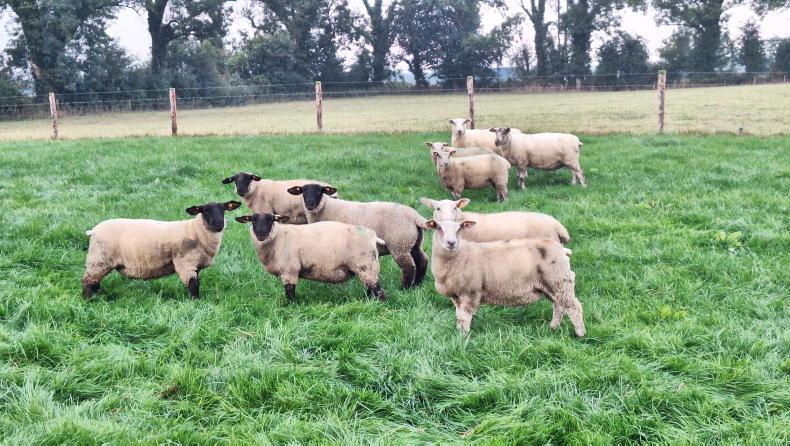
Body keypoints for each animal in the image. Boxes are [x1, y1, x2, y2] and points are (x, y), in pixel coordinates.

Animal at [82, 201, 242, 300]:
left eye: (223, 210)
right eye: (205, 211)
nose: (219, 224)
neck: (196, 231)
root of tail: (93, 231)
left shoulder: (194, 265)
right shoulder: (185, 263)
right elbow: (194, 285)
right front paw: (196, 302)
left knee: (94, 282)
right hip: (98, 260)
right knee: (88, 281)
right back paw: (87, 300)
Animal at [236, 213, 387, 302]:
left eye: (271, 219)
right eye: (253, 220)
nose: (261, 233)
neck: (278, 239)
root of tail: (373, 236)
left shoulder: (289, 271)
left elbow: (290, 294)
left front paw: (290, 308)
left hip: (367, 266)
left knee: (379, 291)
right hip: (366, 269)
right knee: (370, 289)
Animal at [287, 183, 428, 289]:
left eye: (319, 191)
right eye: (303, 192)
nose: (309, 204)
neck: (326, 208)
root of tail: (415, 216)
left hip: (400, 244)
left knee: (409, 267)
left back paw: (405, 288)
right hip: (413, 243)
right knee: (422, 261)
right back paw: (417, 285)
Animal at [426, 219, 585, 336]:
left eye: (459, 229)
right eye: (439, 227)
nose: (451, 243)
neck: (460, 254)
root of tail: (562, 250)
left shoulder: (470, 292)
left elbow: (464, 318)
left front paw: (463, 337)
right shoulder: (457, 296)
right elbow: (459, 317)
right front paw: (459, 333)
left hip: (560, 280)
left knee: (573, 307)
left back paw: (580, 333)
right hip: (553, 285)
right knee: (558, 306)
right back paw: (553, 328)